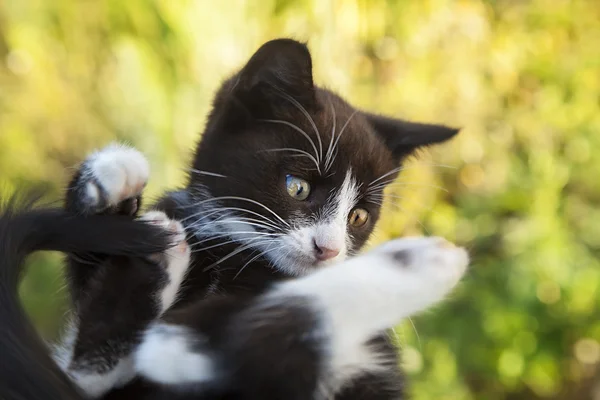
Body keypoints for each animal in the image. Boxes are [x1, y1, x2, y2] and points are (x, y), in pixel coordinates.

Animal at [58, 38, 464, 400]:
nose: (329, 249)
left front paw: (414, 263)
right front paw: (109, 176)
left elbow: (277, 323)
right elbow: (87, 371)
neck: (235, 250)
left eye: (358, 216)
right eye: (297, 187)